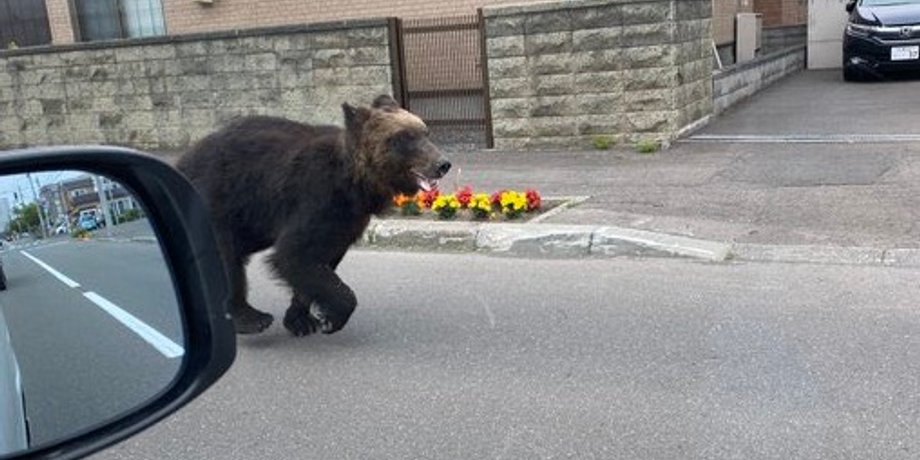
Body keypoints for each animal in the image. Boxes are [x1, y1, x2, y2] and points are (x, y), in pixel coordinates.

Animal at [176, 95, 450, 336]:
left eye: (425, 132)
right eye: (405, 137)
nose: (442, 164)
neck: (355, 184)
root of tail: (181, 161)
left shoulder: (346, 221)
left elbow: (316, 262)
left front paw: (303, 319)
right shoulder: (315, 199)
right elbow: (294, 254)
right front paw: (332, 317)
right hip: (217, 200)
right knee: (225, 259)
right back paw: (250, 318)